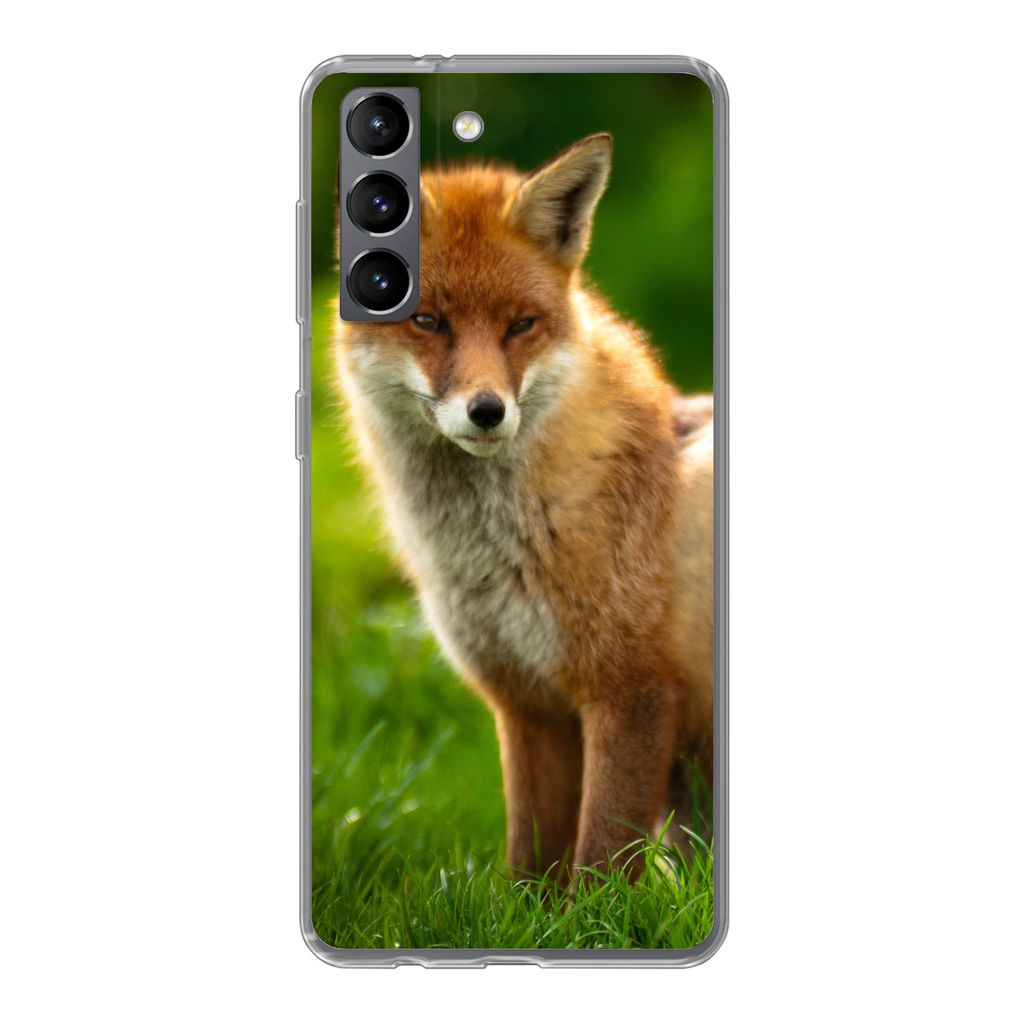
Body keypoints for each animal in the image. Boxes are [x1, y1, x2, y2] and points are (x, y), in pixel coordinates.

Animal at [333, 132, 714, 881]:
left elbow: (600, 861)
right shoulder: (525, 703)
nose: (487, 411)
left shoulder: (632, 692)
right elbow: (528, 867)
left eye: (520, 325)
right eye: (428, 321)